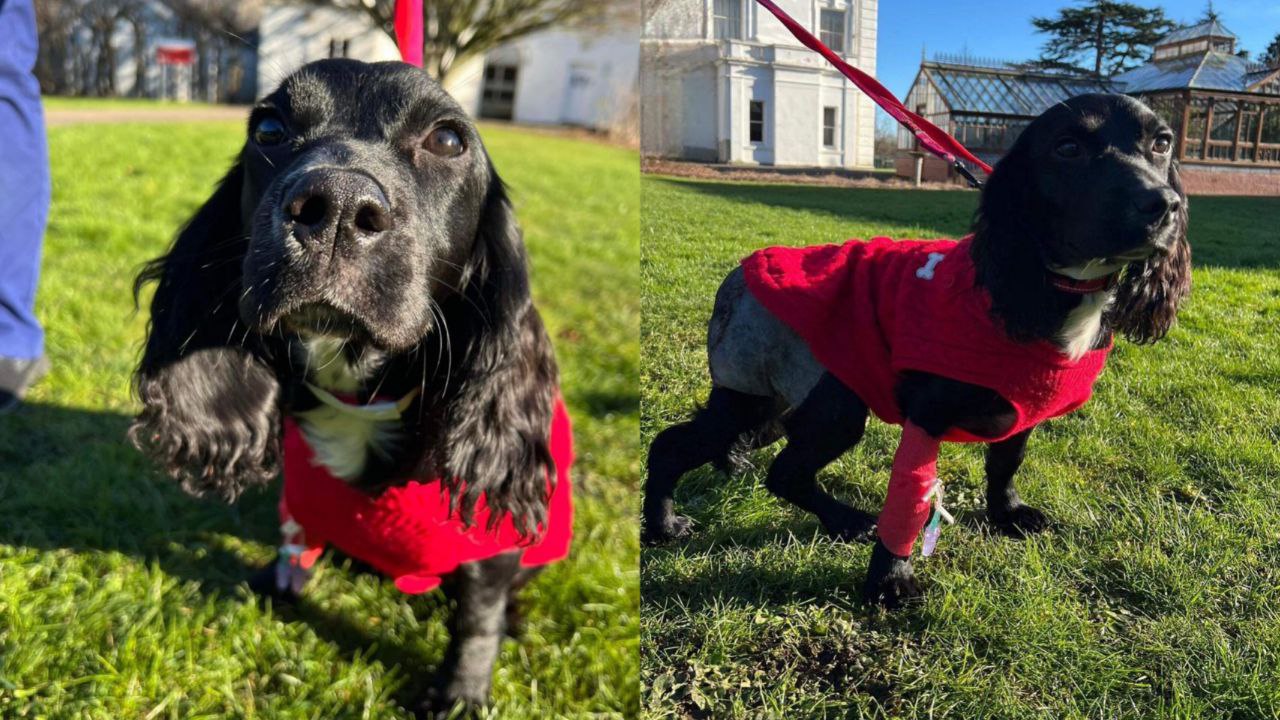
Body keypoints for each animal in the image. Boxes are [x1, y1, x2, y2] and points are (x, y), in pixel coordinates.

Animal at [128, 60, 560, 712]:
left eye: (448, 139)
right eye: (269, 128)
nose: (333, 205)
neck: (359, 397)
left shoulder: (491, 548)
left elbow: (476, 617)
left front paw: (460, 693)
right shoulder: (301, 498)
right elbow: (294, 542)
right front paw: (277, 583)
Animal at [645, 90, 1192, 604]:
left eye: (1162, 143)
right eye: (1069, 147)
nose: (1163, 204)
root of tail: (739, 275)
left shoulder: (1024, 411)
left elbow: (1005, 464)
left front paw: (1007, 514)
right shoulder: (927, 417)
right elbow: (909, 500)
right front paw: (890, 580)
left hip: (781, 404)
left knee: (774, 467)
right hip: (815, 401)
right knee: (700, 453)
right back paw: (665, 526)